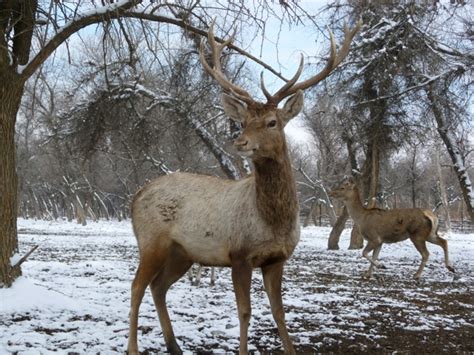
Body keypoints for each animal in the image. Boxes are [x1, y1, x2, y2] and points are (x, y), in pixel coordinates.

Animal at [126, 20, 360, 355]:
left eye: (273, 122)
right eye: (244, 121)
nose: (240, 142)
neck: (273, 220)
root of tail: (136, 196)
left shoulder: (277, 259)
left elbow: (279, 311)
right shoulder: (239, 254)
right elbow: (245, 311)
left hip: (182, 252)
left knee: (159, 287)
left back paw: (175, 346)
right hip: (152, 241)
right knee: (137, 286)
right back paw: (133, 348)